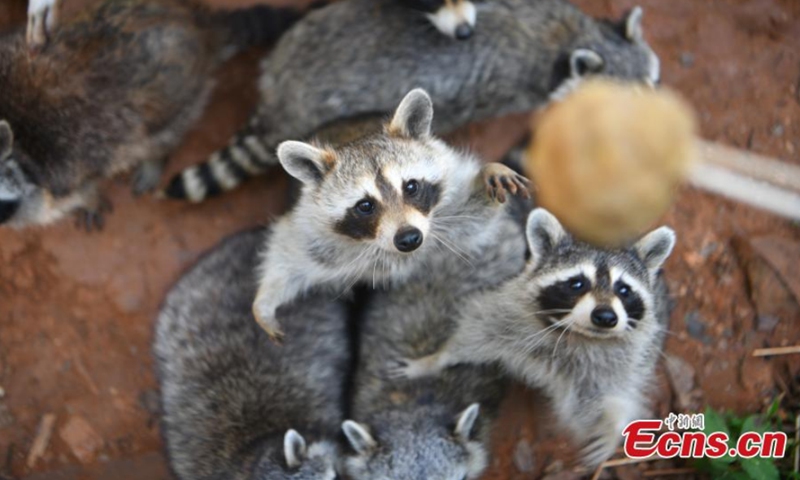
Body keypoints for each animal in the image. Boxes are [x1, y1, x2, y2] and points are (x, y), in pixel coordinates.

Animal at [0, 0, 303, 229]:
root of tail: (199, 26)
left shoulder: (62, 175)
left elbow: (82, 189)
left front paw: (90, 200)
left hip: (178, 96)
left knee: (159, 134)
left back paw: (156, 157)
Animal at [251, 89, 528, 342]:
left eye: (411, 186)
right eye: (365, 205)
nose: (409, 238)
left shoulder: (447, 212)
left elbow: (473, 217)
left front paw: (487, 173)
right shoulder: (318, 236)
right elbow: (288, 254)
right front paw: (264, 302)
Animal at [391, 208, 675, 467]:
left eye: (623, 290)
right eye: (578, 283)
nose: (605, 317)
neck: (575, 333)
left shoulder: (620, 359)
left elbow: (610, 393)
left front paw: (612, 423)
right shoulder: (509, 315)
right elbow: (473, 336)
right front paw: (434, 359)